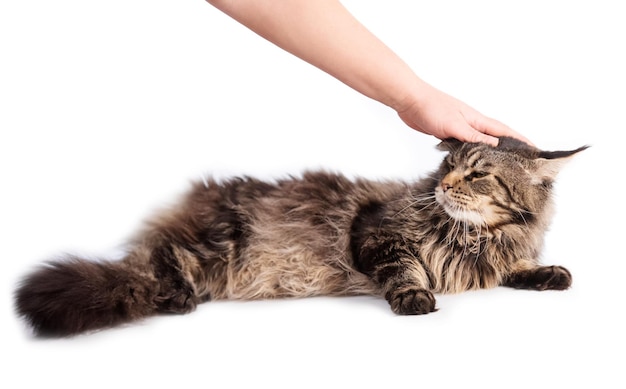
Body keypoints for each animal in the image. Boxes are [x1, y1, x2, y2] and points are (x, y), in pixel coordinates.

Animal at [13, 137, 584, 336]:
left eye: (478, 173)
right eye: (448, 164)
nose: (443, 185)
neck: (473, 236)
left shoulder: (492, 257)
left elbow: (514, 270)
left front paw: (548, 273)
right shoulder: (376, 233)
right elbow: (405, 268)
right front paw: (414, 296)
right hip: (212, 248)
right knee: (158, 261)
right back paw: (176, 297)